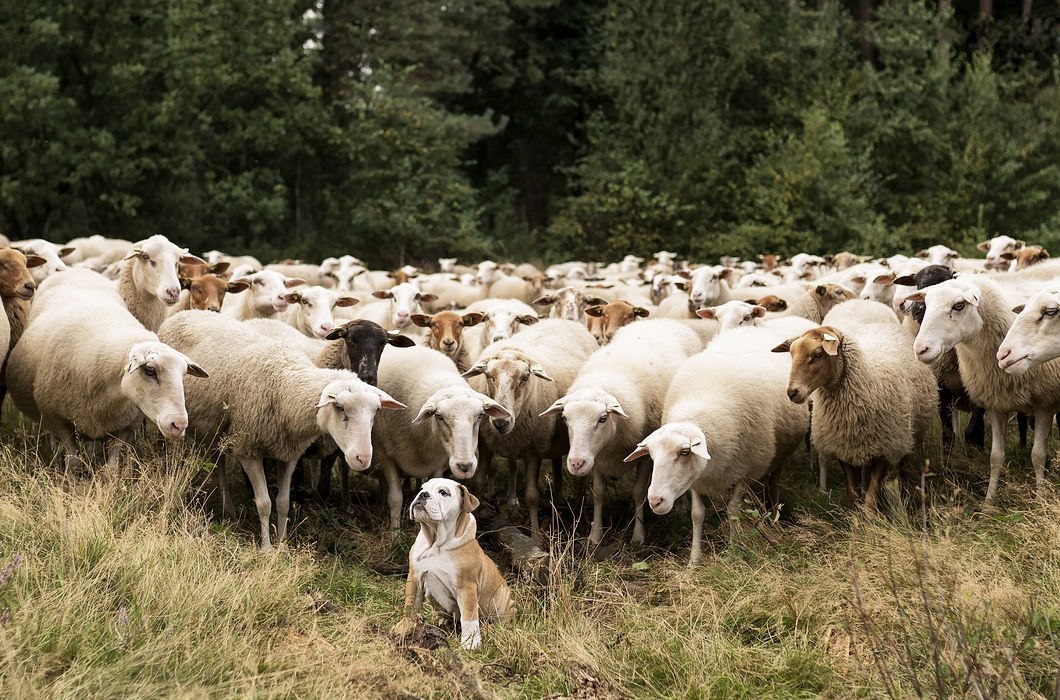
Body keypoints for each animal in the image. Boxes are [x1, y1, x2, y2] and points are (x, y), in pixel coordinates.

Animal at [8, 268, 208, 470]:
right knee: (54, 440)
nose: (179, 425)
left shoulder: (127, 425)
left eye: (183, 374)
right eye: (150, 370)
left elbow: (111, 468)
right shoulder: (59, 420)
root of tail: (78, 269)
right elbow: (73, 463)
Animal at [157, 309, 404, 547]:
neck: (284, 383)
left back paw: (229, 509)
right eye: (339, 407)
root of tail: (185, 312)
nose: (363, 458)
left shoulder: (290, 454)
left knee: (218, 461)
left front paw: (282, 544)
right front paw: (266, 548)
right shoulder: (249, 450)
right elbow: (264, 503)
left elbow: (284, 502)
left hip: (218, 426)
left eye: (376, 411)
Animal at [396, 475, 515, 649]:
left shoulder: (466, 587)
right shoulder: (414, 578)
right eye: (422, 488)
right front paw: (405, 626)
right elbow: (410, 605)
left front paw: (470, 642)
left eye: (443, 492)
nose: (423, 494)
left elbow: (469, 615)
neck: (435, 542)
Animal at [538, 318, 703, 547]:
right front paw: (595, 536)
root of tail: (661, 319)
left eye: (602, 419)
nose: (576, 463)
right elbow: (598, 493)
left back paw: (680, 507)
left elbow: (639, 492)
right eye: (565, 418)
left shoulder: (645, 455)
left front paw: (638, 536)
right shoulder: (598, 457)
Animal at [623, 326, 805, 564]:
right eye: (652, 456)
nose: (655, 501)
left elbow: (733, 511)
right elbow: (697, 514)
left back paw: (773, 512)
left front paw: (734, 550)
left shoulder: (744, 470)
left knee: (774, 481)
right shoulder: (697, 477)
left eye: (684, 452)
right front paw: (694, 559)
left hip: (779, 456)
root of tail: (750, 328)